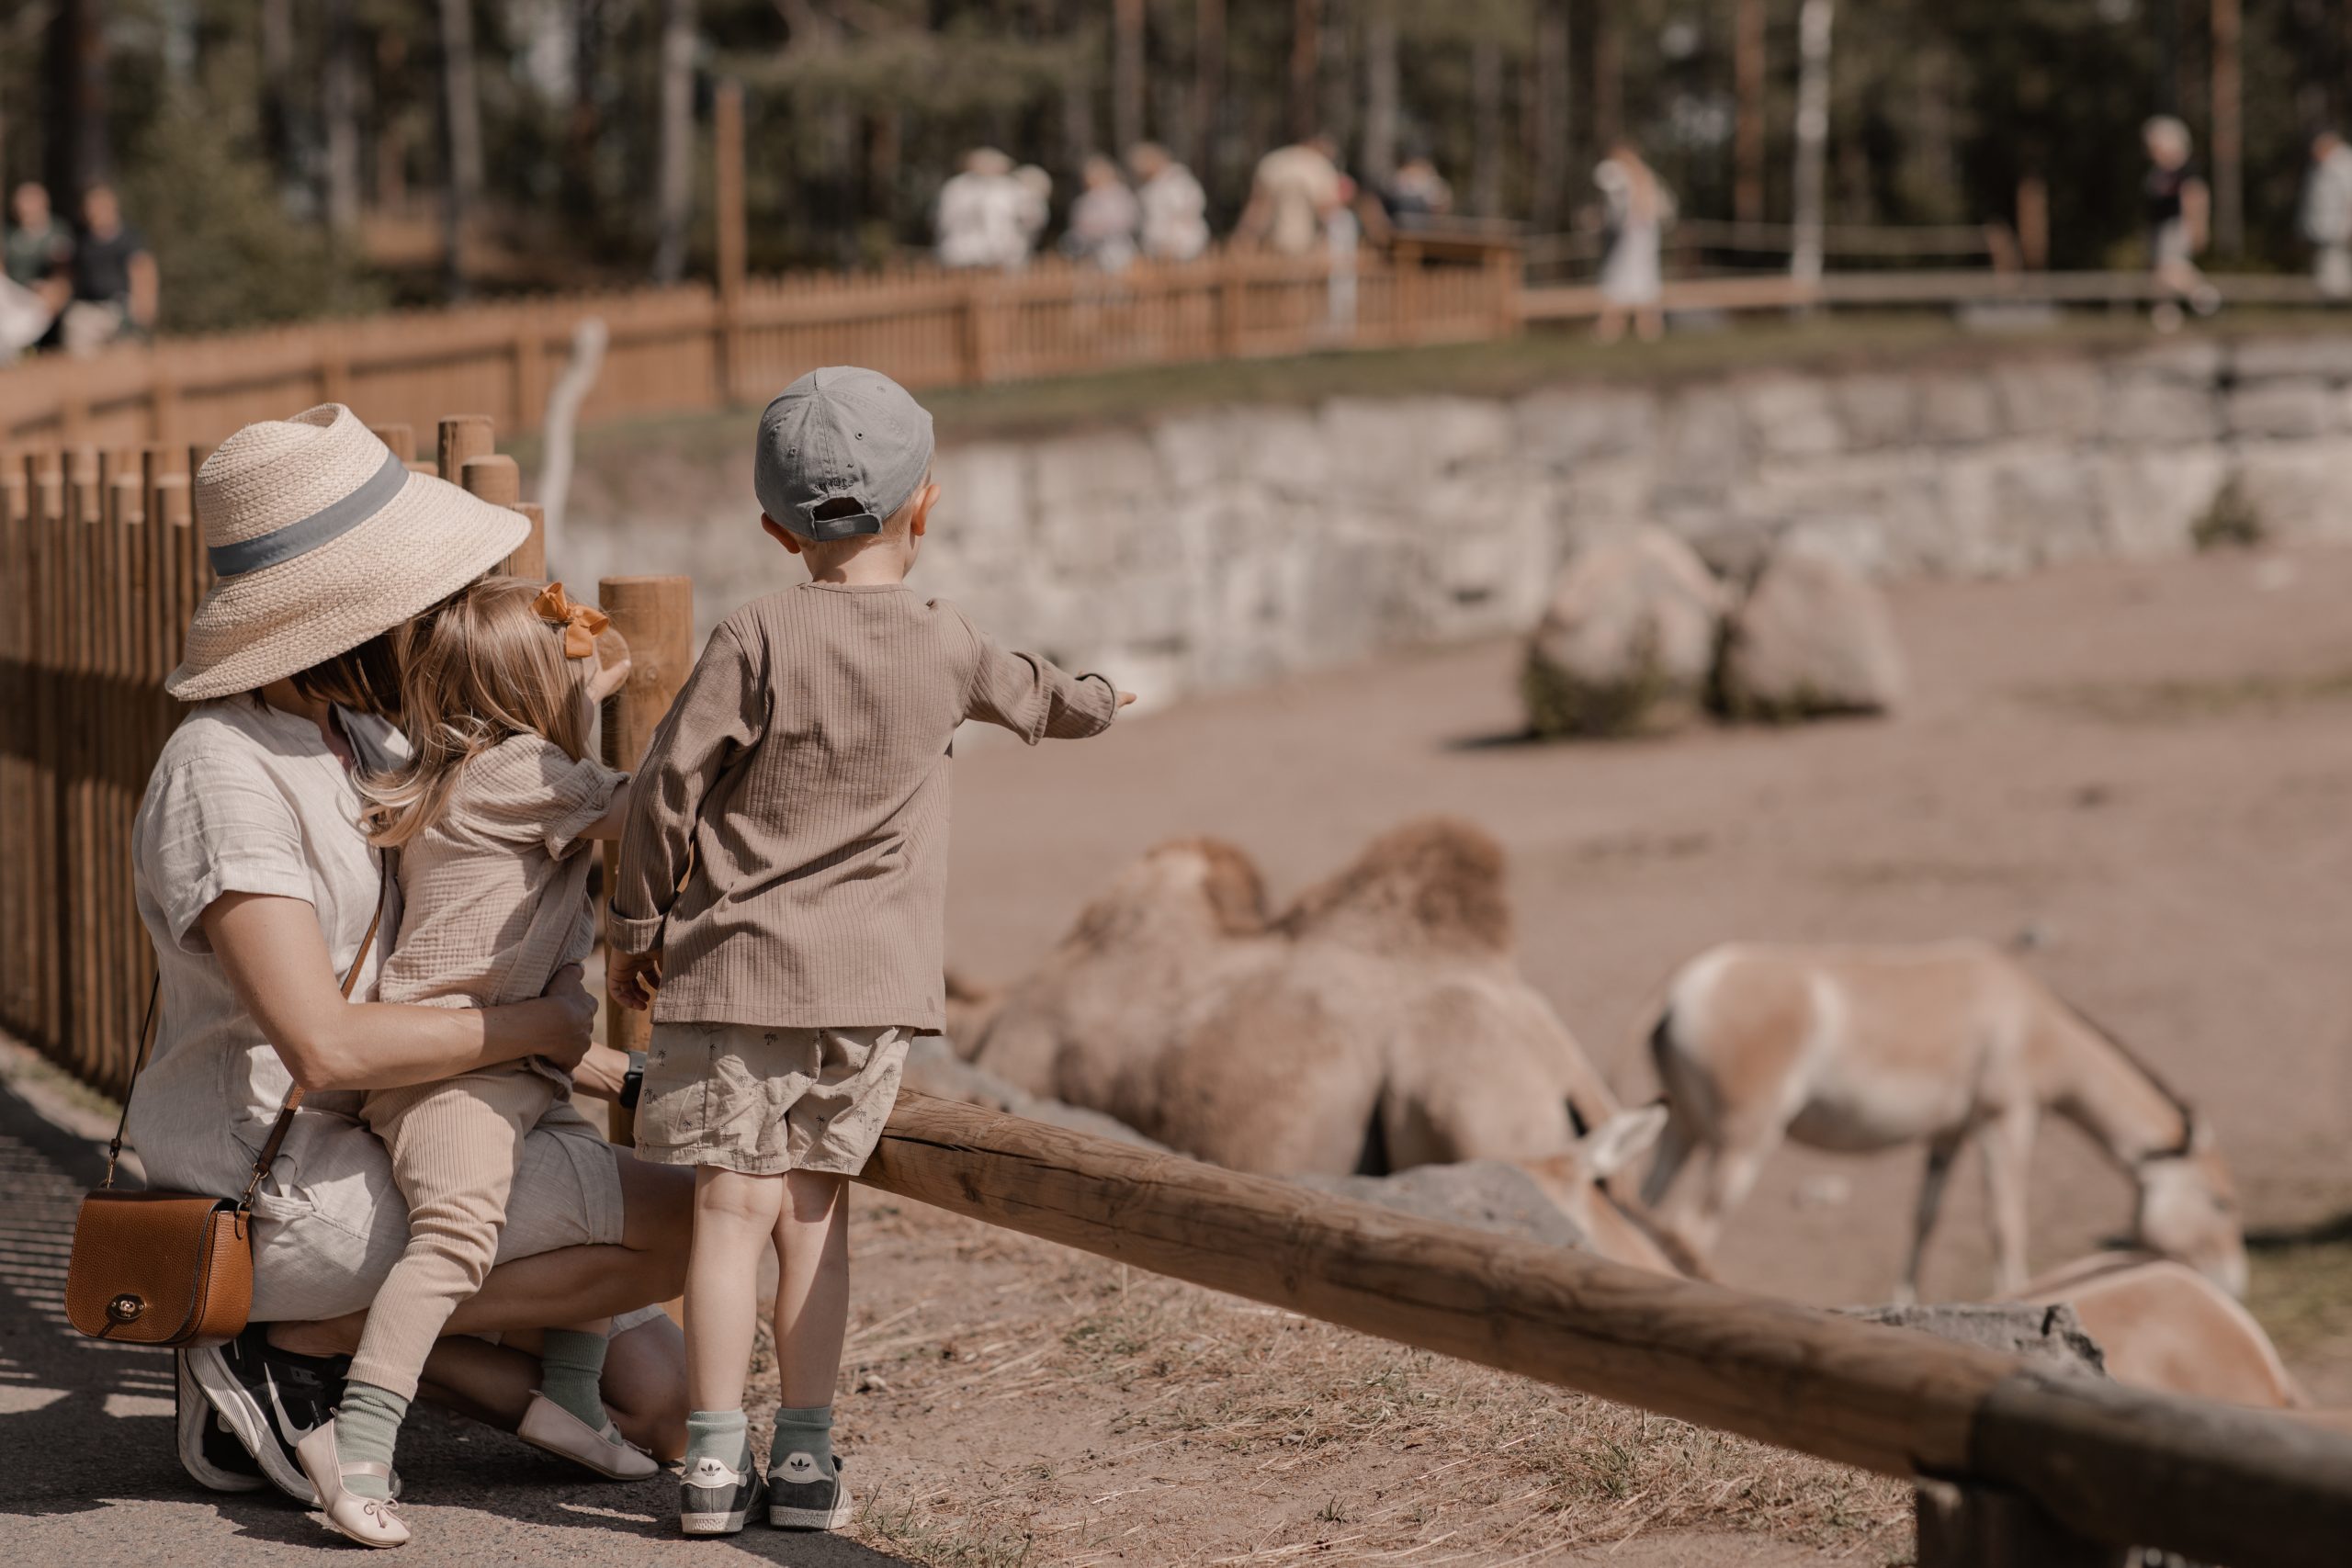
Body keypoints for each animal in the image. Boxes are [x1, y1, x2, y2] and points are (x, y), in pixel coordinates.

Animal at [1627, 944, 2248, 1297]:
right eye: (2220, 1202)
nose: (2237, 1285)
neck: (2031, 1019)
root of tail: (1679, 988)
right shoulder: (2007, 1119)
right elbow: (2005, 1221)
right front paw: (2016, 1298)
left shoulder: (1947, 1135)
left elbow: (1924, 1220)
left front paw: (1904, 1304)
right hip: (1744, 1141)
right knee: (1690, 1226)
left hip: (1681, 1130)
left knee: (1646, 1208)